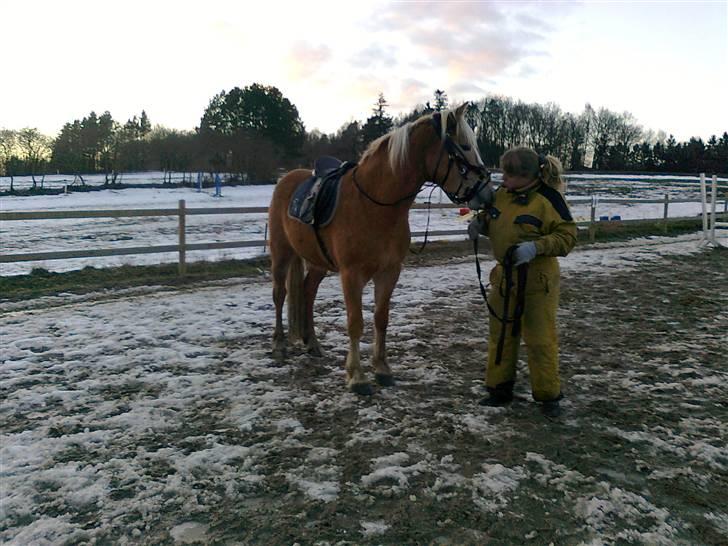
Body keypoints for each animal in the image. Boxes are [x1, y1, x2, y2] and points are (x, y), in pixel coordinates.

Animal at [266, 103, 490, 392]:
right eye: (464, 146)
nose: (488, 193)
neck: (374, 204)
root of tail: (288, 178)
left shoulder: (389, 272)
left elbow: (381, 318)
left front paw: (382, 369)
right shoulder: (351, 275)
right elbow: (355, 323)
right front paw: (356, 377)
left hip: (317, 262)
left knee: (307, 291)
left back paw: (312, 343)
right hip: (281, 254)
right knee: (280, 294)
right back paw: (279, 345)